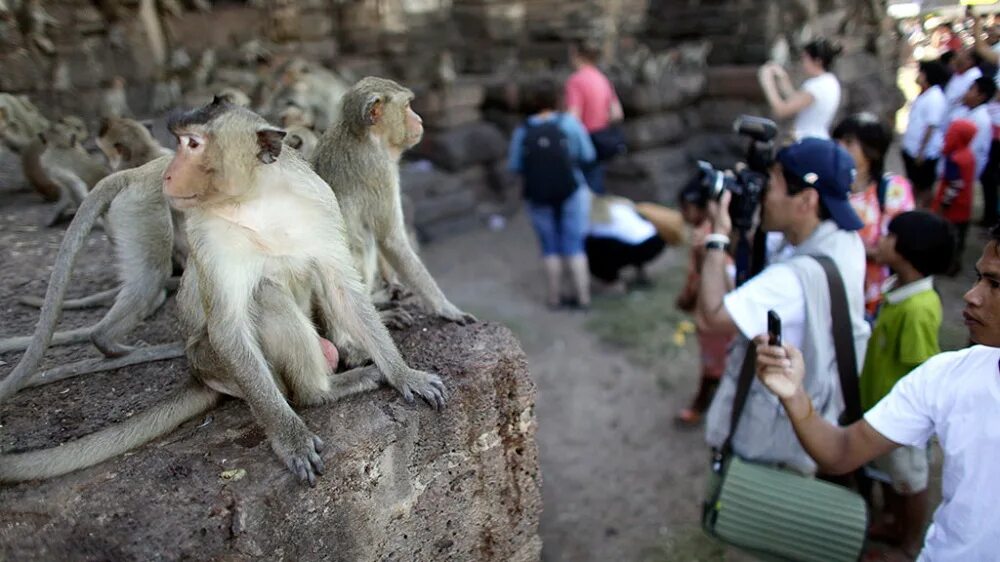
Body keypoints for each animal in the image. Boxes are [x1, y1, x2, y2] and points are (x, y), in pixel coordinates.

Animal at [0, 96, 446, 482]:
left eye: (194, 144)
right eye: (179, 142)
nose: (168, 173)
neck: (258, 200)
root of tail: (197, 372)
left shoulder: (321, 204)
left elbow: (342, 289)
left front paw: (404, 374)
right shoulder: (207, 230)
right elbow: (229, 326)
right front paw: (291, 440)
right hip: (216, 362)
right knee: (266, 299)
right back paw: (322, 392)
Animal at [310, 76, 474, 354]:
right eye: (407, 106)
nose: (419, 119)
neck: (361, 135)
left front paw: (391, 280)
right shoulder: (380, 172)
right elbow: (391, 240)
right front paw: (445, 307)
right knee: (362, 241)